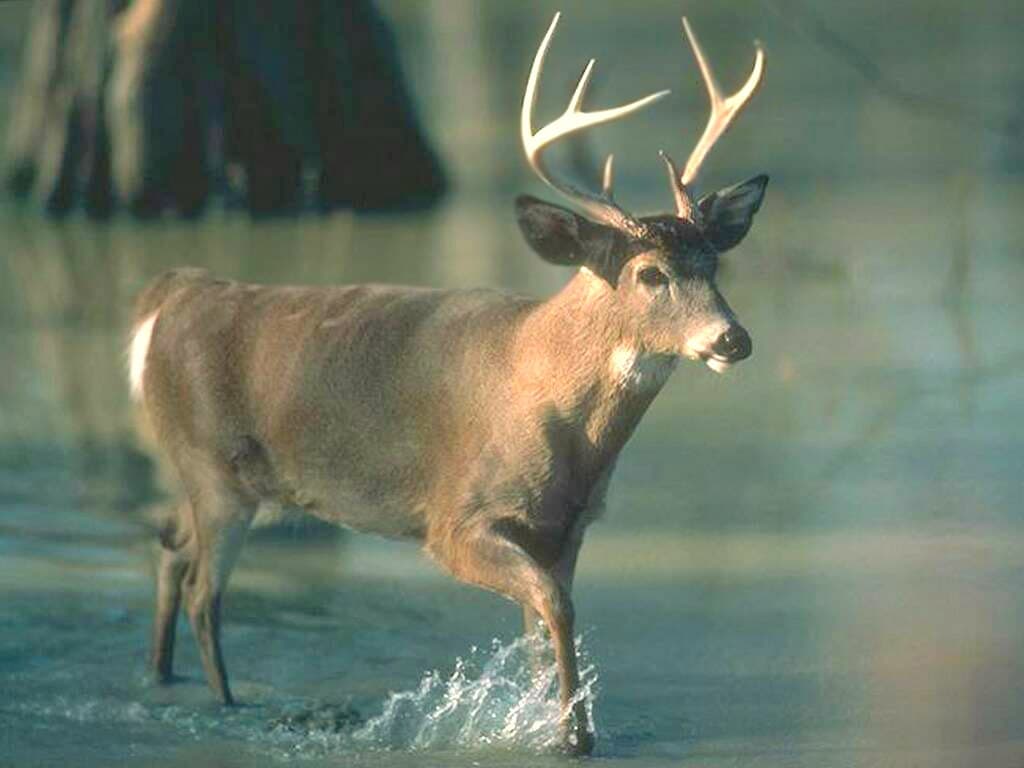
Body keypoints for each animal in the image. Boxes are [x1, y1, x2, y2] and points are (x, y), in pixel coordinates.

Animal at [127, 13, 767, 755]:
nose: (732, 339)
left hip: (223, 479)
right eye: (650, 273)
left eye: (713, 262)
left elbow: (540, 630)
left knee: (170, 548)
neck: (549, 403)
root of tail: (170, 295)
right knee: (203, 591)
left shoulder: (567, 529)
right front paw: (571, 737)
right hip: (213, 472)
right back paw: (228, 705)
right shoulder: (453, 518)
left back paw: (162, 677)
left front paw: (553, 724)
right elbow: (557, 608)